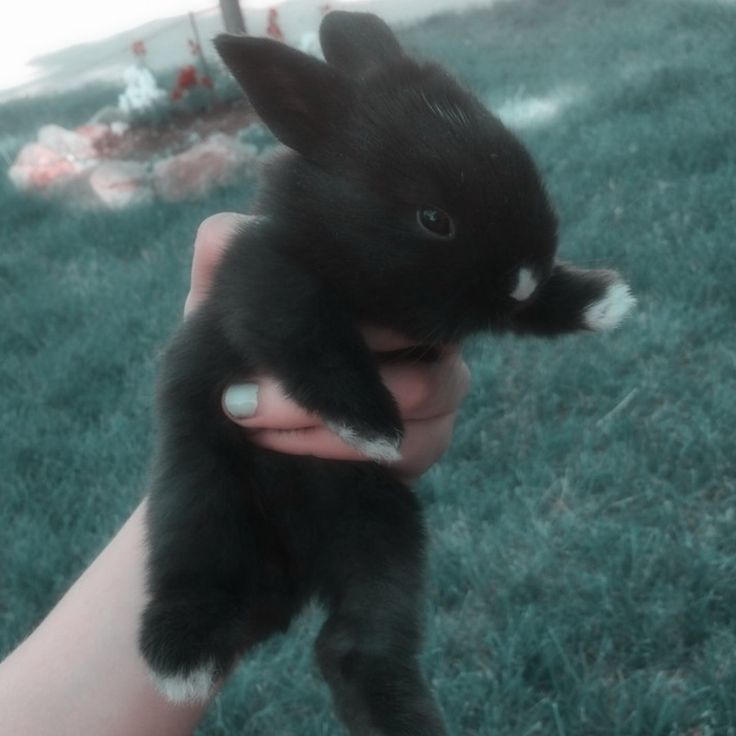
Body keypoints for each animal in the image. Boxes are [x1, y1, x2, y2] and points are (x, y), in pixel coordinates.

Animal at [141, 12, 636, 736]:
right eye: (433, 218)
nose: (523, 273)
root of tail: (293, 576)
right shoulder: (262, 288)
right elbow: (310, 335)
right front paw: (371, 426)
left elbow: (530, 314)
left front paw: (602, 300)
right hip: (201, 497)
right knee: (198, 572)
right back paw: (182, 662)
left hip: (385, 541)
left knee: (352, 647)